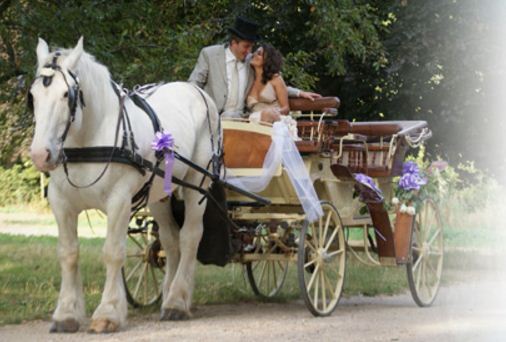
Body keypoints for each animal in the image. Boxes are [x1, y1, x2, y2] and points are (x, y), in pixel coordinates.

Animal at [27, 36, 217, 332]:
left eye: (66, 95)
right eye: (33, 96)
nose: (40, 154)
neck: (89, 138)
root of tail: (196, 91)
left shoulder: (119, 201)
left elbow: (112, 252)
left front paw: (108, 312)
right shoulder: (61, 202)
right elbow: (68, 253)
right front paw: (67, 313)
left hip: (198, 184)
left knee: (189, 237)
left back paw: (177, 300)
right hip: (159, 194)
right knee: (171, 239)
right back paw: (170, 296)